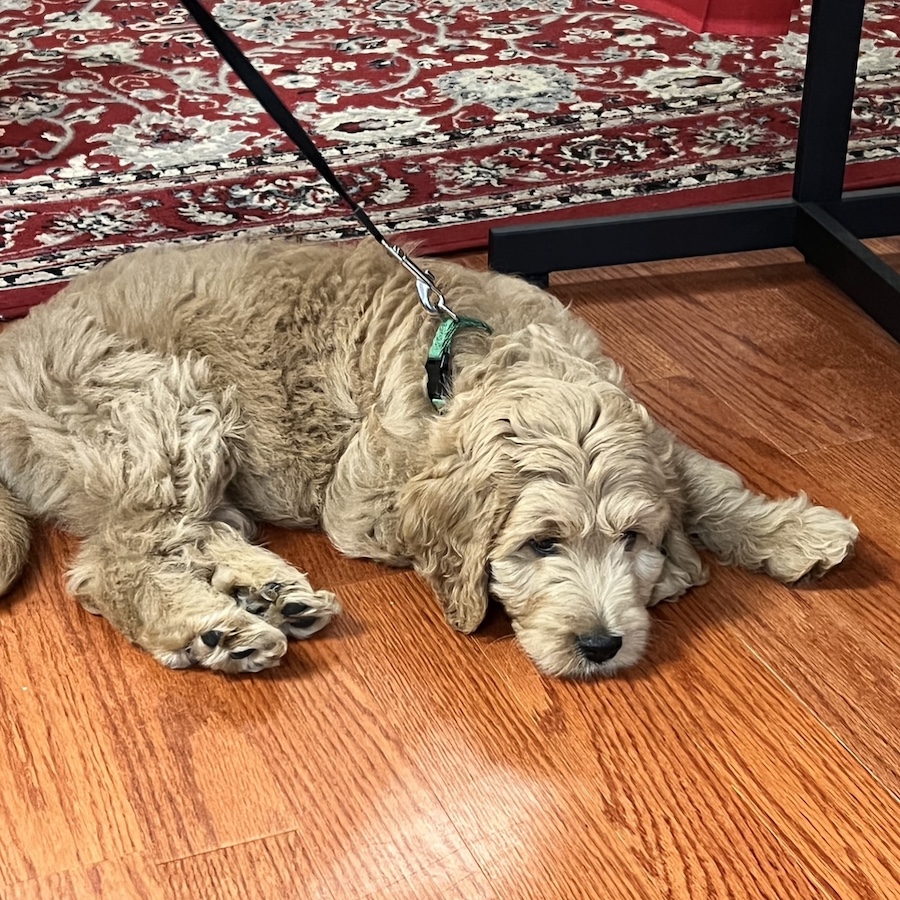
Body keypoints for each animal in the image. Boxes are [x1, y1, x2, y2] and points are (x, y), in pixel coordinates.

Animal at [0, 239, 856, 676]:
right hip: (161, 408)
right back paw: (212, 630)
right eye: (540, 545)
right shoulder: (361, 502)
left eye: (632, 539)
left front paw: (790, 531)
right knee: (118, 561)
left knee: (191, 531)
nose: (602, 645)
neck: (481, 360)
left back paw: (267, 591)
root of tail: (15, 343)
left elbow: (703, 478)